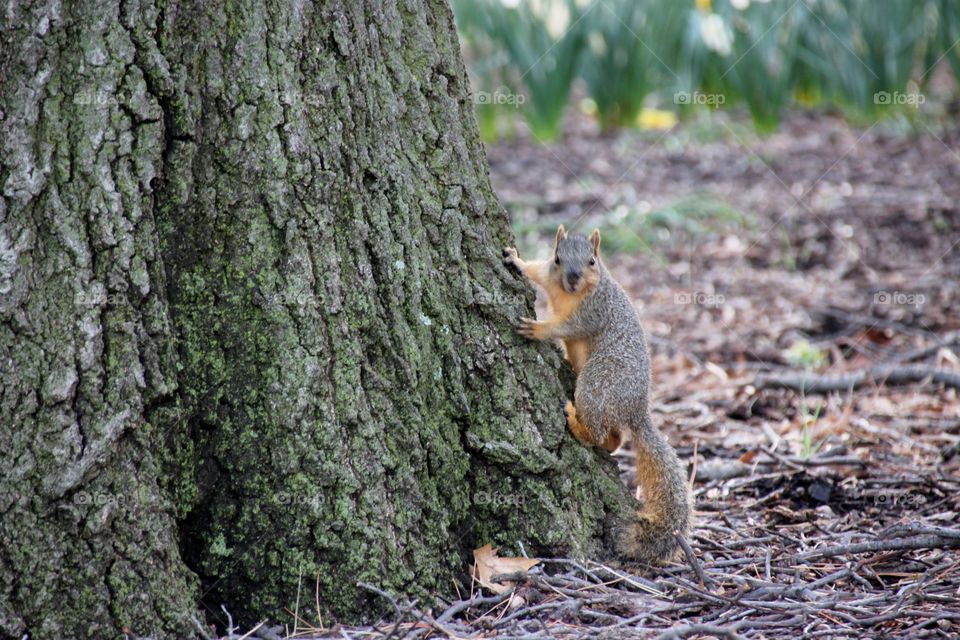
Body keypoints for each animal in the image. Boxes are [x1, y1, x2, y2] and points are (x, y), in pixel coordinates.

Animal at [502, 226, 688, 564]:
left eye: (592, 260)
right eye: (558, 258)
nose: (573, 277)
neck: (570, 293)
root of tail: (636, 409)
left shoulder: (593, 311)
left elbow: (569, 327)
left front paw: (539, 329)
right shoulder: (549, 275)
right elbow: (536, 270)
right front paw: (515, 259)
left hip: (597, 383)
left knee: (597, 430)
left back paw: (576, 423)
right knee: (614, 436)